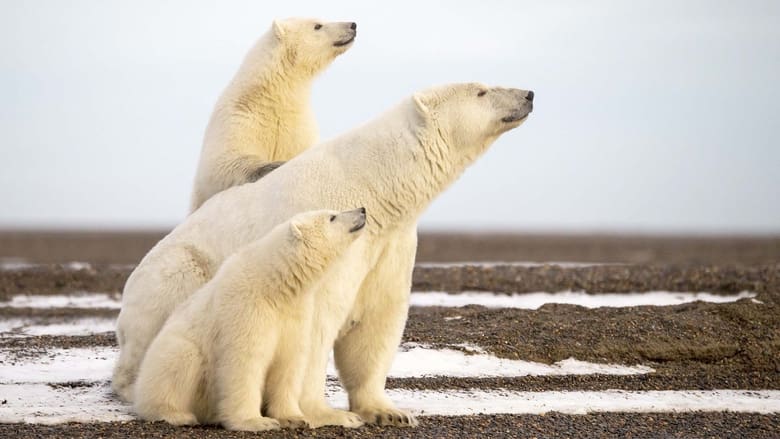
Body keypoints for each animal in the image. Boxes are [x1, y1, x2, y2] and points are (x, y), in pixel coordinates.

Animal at [133, 208, 368, 432]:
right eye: (332, 217)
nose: (362, 210)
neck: (275, 285)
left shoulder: (295, 314)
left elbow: (288, 362)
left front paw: (294, 418)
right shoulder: (247, 308)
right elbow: (245, 361)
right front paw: (257, 422)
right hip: (173, 353)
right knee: (179, 364)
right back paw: (177, 414)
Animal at [190, 19, 358, 212]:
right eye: (318, 25)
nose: (353, 25)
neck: (271, 96)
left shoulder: (297, 126)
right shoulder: (239, 118)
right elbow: (220, 163)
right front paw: (273, 165)